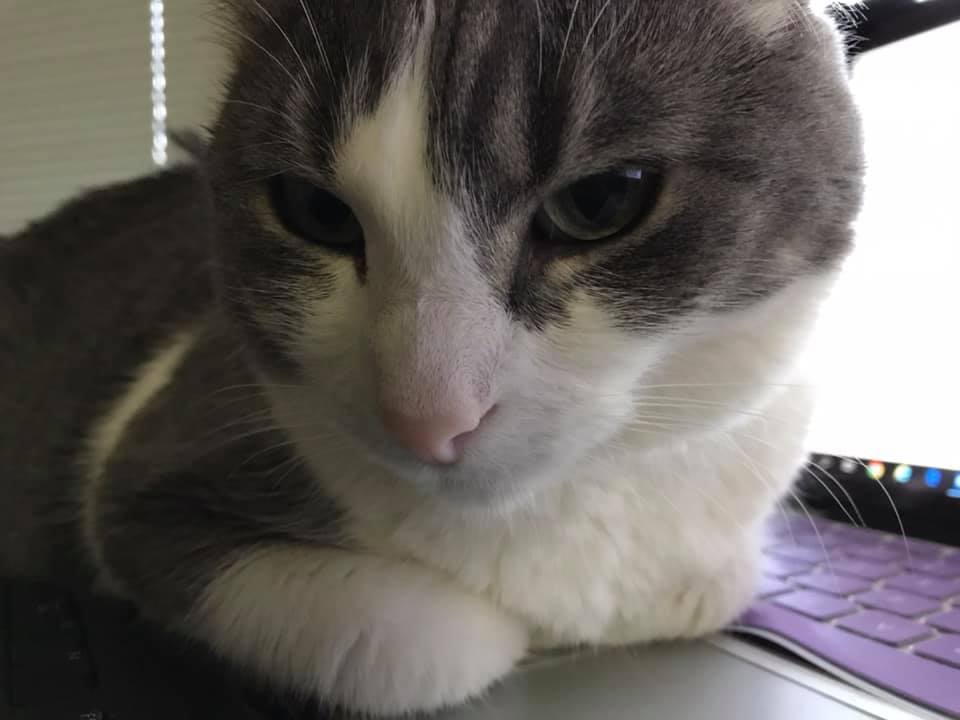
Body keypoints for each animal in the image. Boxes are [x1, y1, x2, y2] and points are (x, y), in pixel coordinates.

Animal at [0, 0, 868, 716]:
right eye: (313, 211)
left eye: (601, 200)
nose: (427, 415)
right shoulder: (142, 474)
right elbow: (419, 644)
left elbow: (713, 584)